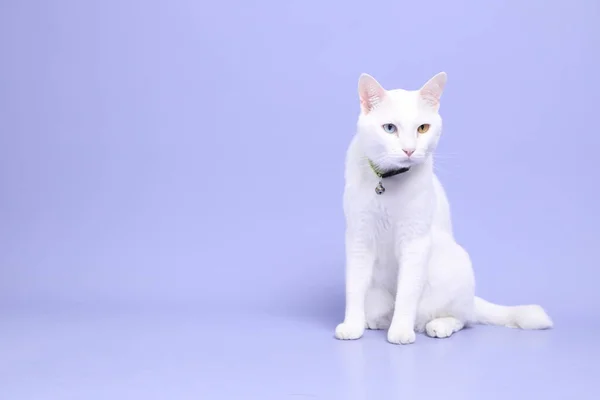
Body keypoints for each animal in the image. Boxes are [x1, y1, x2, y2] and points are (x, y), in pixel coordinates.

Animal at [336, 72, 552, 344]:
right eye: (389, 128)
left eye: (422, 128)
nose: (409, 149)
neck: (386, 182)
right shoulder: (359, 237)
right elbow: (354, 287)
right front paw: (352, 325)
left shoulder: (415, 241)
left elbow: (407, 292)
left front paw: (401, 331)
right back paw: (376, 321)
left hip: (456, 267)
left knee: (462, 318)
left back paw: (438, 325)